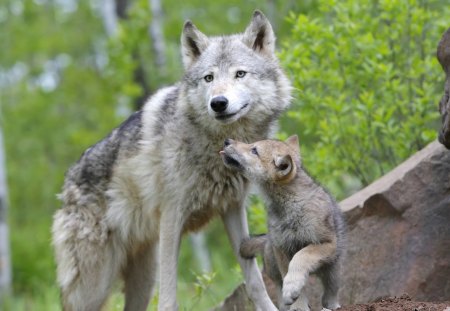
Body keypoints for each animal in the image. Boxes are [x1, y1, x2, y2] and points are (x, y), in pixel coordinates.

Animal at [51, 9, 292, 311]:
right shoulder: (171, 218)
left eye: (240, 74)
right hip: (94, 285)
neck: (216, 147)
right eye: (209, 78)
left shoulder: (233, 209)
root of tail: (67, 184)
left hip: (143, 278)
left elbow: (255, 282)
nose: (218, 103)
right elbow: (168, 297)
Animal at [221, 136, 344, 311]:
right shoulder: (282, 249)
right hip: (273, 263)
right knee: (279, 288)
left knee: (330, 293)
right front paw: (297, 305)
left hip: (333, 269)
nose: (227, 140)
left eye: (254, 150)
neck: (290, 205)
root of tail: (267, 240)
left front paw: (292, 288)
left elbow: (301, 256)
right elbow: (289, 274)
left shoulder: (325, 243)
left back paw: (331, 306)